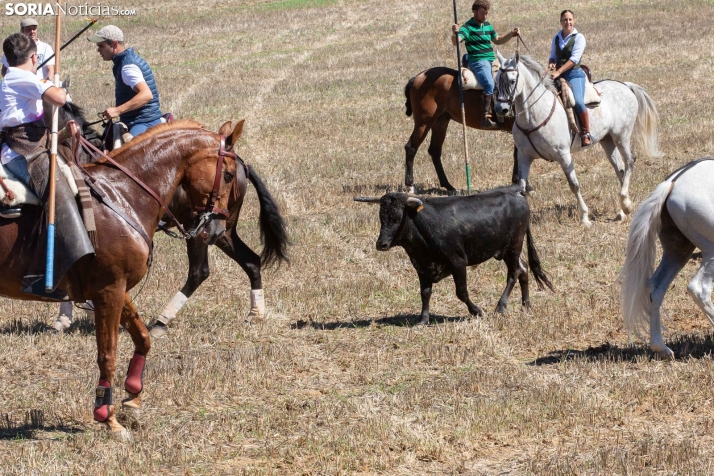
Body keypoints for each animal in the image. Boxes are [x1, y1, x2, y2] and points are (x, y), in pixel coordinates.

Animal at [0, 120, 239, 438]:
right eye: (228, 174)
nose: (217, 230)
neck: (122, 196)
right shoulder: (108, 291)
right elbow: (108, 354)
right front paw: (107, 417)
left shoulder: (117, 289)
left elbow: (143, 337)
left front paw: (132, 397)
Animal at [356, 186, 552, 324]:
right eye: (381, 217)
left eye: (397, 218)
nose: (381, 244)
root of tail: (517, 194)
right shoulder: (421, 266)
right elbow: (425, 293)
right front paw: (422, 320)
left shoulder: (458, 263)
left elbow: (461, 292)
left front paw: (477, 311)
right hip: (506, 251)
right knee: (523, 268)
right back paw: (526, 305)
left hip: (513, 246)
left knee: (514, 273)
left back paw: (501, 306)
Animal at [492, 51, 660, 226]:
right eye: (496, 80)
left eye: (512, 80)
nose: (500, 109)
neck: (533, 116)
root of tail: (625, 86)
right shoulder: (524, 156)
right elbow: (522, 187)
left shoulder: (563, 155)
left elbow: (574, 185)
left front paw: (585, 217)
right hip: (607, 140)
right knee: (620, 169)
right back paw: (622, 211)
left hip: (622, 136)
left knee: (630, 160)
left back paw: (625, 203)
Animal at [616, 158, 712, 358]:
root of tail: (673, 182)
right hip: (709, 251)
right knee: (699, 289)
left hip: (677, 252)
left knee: (656, 288)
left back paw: (661, 348)